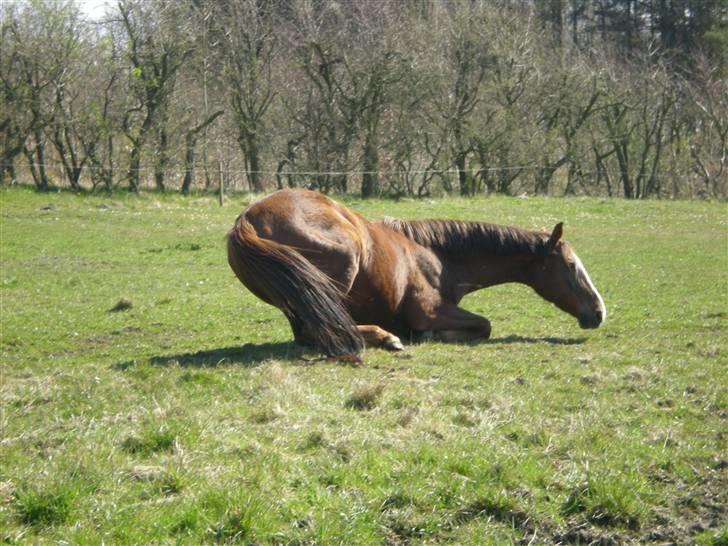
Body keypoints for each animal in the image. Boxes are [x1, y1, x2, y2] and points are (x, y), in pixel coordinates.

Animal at [226, 189, 604, 360]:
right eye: (571, 266)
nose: (599, 312)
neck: (435, 254)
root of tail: (248, 219)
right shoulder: (428, 311)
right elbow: (484, 325)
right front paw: (431, 335)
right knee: (325, 329)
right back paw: (386, 338)